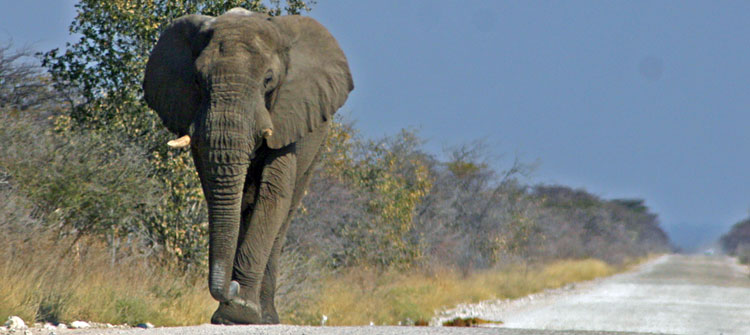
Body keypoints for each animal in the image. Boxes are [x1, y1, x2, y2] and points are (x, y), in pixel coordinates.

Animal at [144, 8, 356, 326]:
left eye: (268, 80)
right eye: (197, 80)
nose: (230, 287)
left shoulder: (287, 115)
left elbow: (273, 195)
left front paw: (239, 313)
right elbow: (220, 193)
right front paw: (229, 315)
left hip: (317, 144)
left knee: (283, 217)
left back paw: (266, 318)